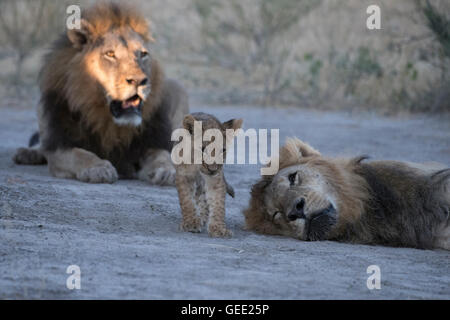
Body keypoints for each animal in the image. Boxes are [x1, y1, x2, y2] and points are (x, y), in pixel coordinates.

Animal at [13, 1, 187, 185]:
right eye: (110, 54)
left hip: (178, 88)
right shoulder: (61, 145)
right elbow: (79, 154)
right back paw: (27, 153)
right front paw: (98, 168)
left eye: (143, 54)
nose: (139, 81)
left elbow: (161, 156)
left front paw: (166, 171)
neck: (108, 122)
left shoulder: (151, 141)